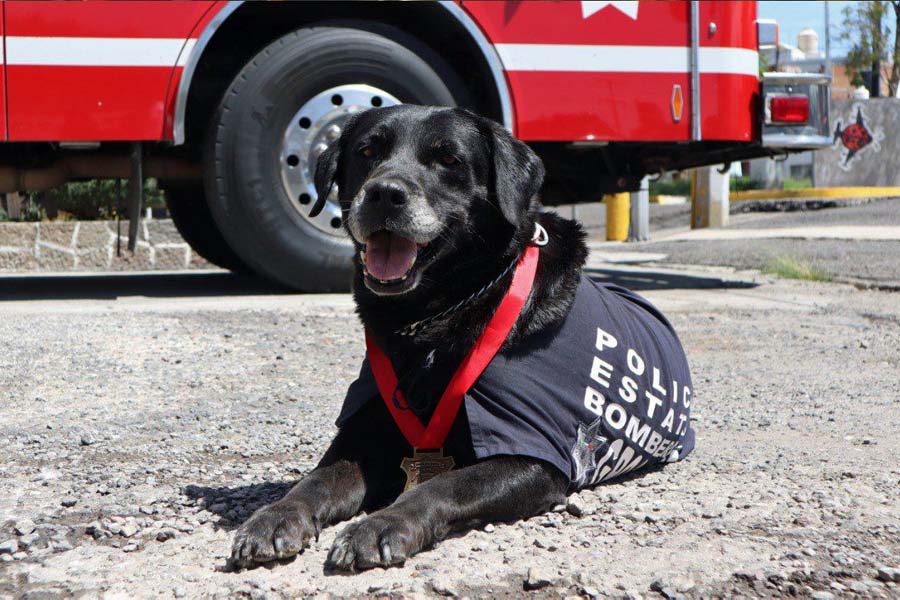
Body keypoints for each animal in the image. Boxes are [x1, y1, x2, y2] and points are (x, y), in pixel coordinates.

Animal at [229, 104, 692, 572]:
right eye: (367, 152)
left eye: (449, 159)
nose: (384, 194)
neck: (436, 319)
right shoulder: (364, 434)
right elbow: (318, 479)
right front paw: (276, 516)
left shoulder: (530, 455)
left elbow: (442, 484)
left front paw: (381, 523)